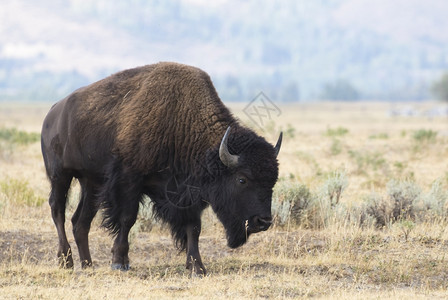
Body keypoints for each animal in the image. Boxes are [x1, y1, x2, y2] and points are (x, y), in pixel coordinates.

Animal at [41, 61, 280, 274]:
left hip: (91, 182)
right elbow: (128, 218)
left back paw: (88, 265)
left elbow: (193, 227)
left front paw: (197, 268)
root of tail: (52, 112)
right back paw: (66, 261)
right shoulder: (129, 181)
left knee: (80, 221)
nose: (263, 221)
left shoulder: (187, 194)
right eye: (242, 179)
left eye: (273, 181)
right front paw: (119, 262)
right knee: (58, 210)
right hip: (60, 175)